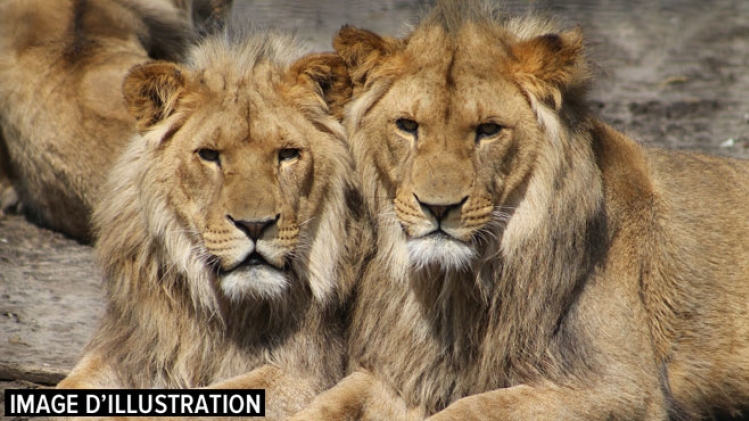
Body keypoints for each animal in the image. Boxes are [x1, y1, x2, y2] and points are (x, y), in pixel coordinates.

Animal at [56, 27, 365, 421]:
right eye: (209, 155)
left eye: (287, 155)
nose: (255, 226)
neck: (225, 311)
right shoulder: (133, 345)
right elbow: (71, 385)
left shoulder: (304, 372)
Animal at [289, 1, 749, 420]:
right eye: (407, 126)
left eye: (489, 130)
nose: (438, 208)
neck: (454, 289)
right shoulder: (407, 371)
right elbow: (332, 398)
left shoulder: (623, 386)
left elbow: (469, 410)